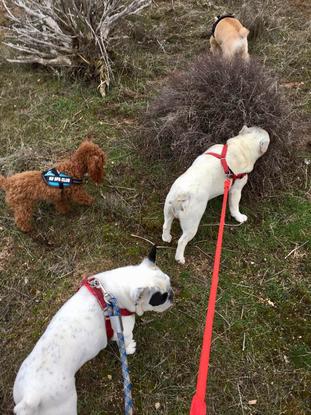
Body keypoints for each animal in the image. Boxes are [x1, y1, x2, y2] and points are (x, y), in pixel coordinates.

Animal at [13, 247, 173, 415]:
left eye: (170, 283)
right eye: (160, 299)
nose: (172, 295)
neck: (110, 295)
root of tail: (31, 396)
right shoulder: (124, 331)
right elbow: (127, 341)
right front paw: (130, 348)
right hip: (65, 406)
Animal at [163, 125, 270, 264]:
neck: (242, 144)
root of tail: (182, 194)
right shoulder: (236, 189)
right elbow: (234, 206)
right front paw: (239, 217)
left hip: (168, 208)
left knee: (166, 225)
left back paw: (166, 238)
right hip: (191, 223)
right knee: (182, 241)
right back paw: (180, 258)